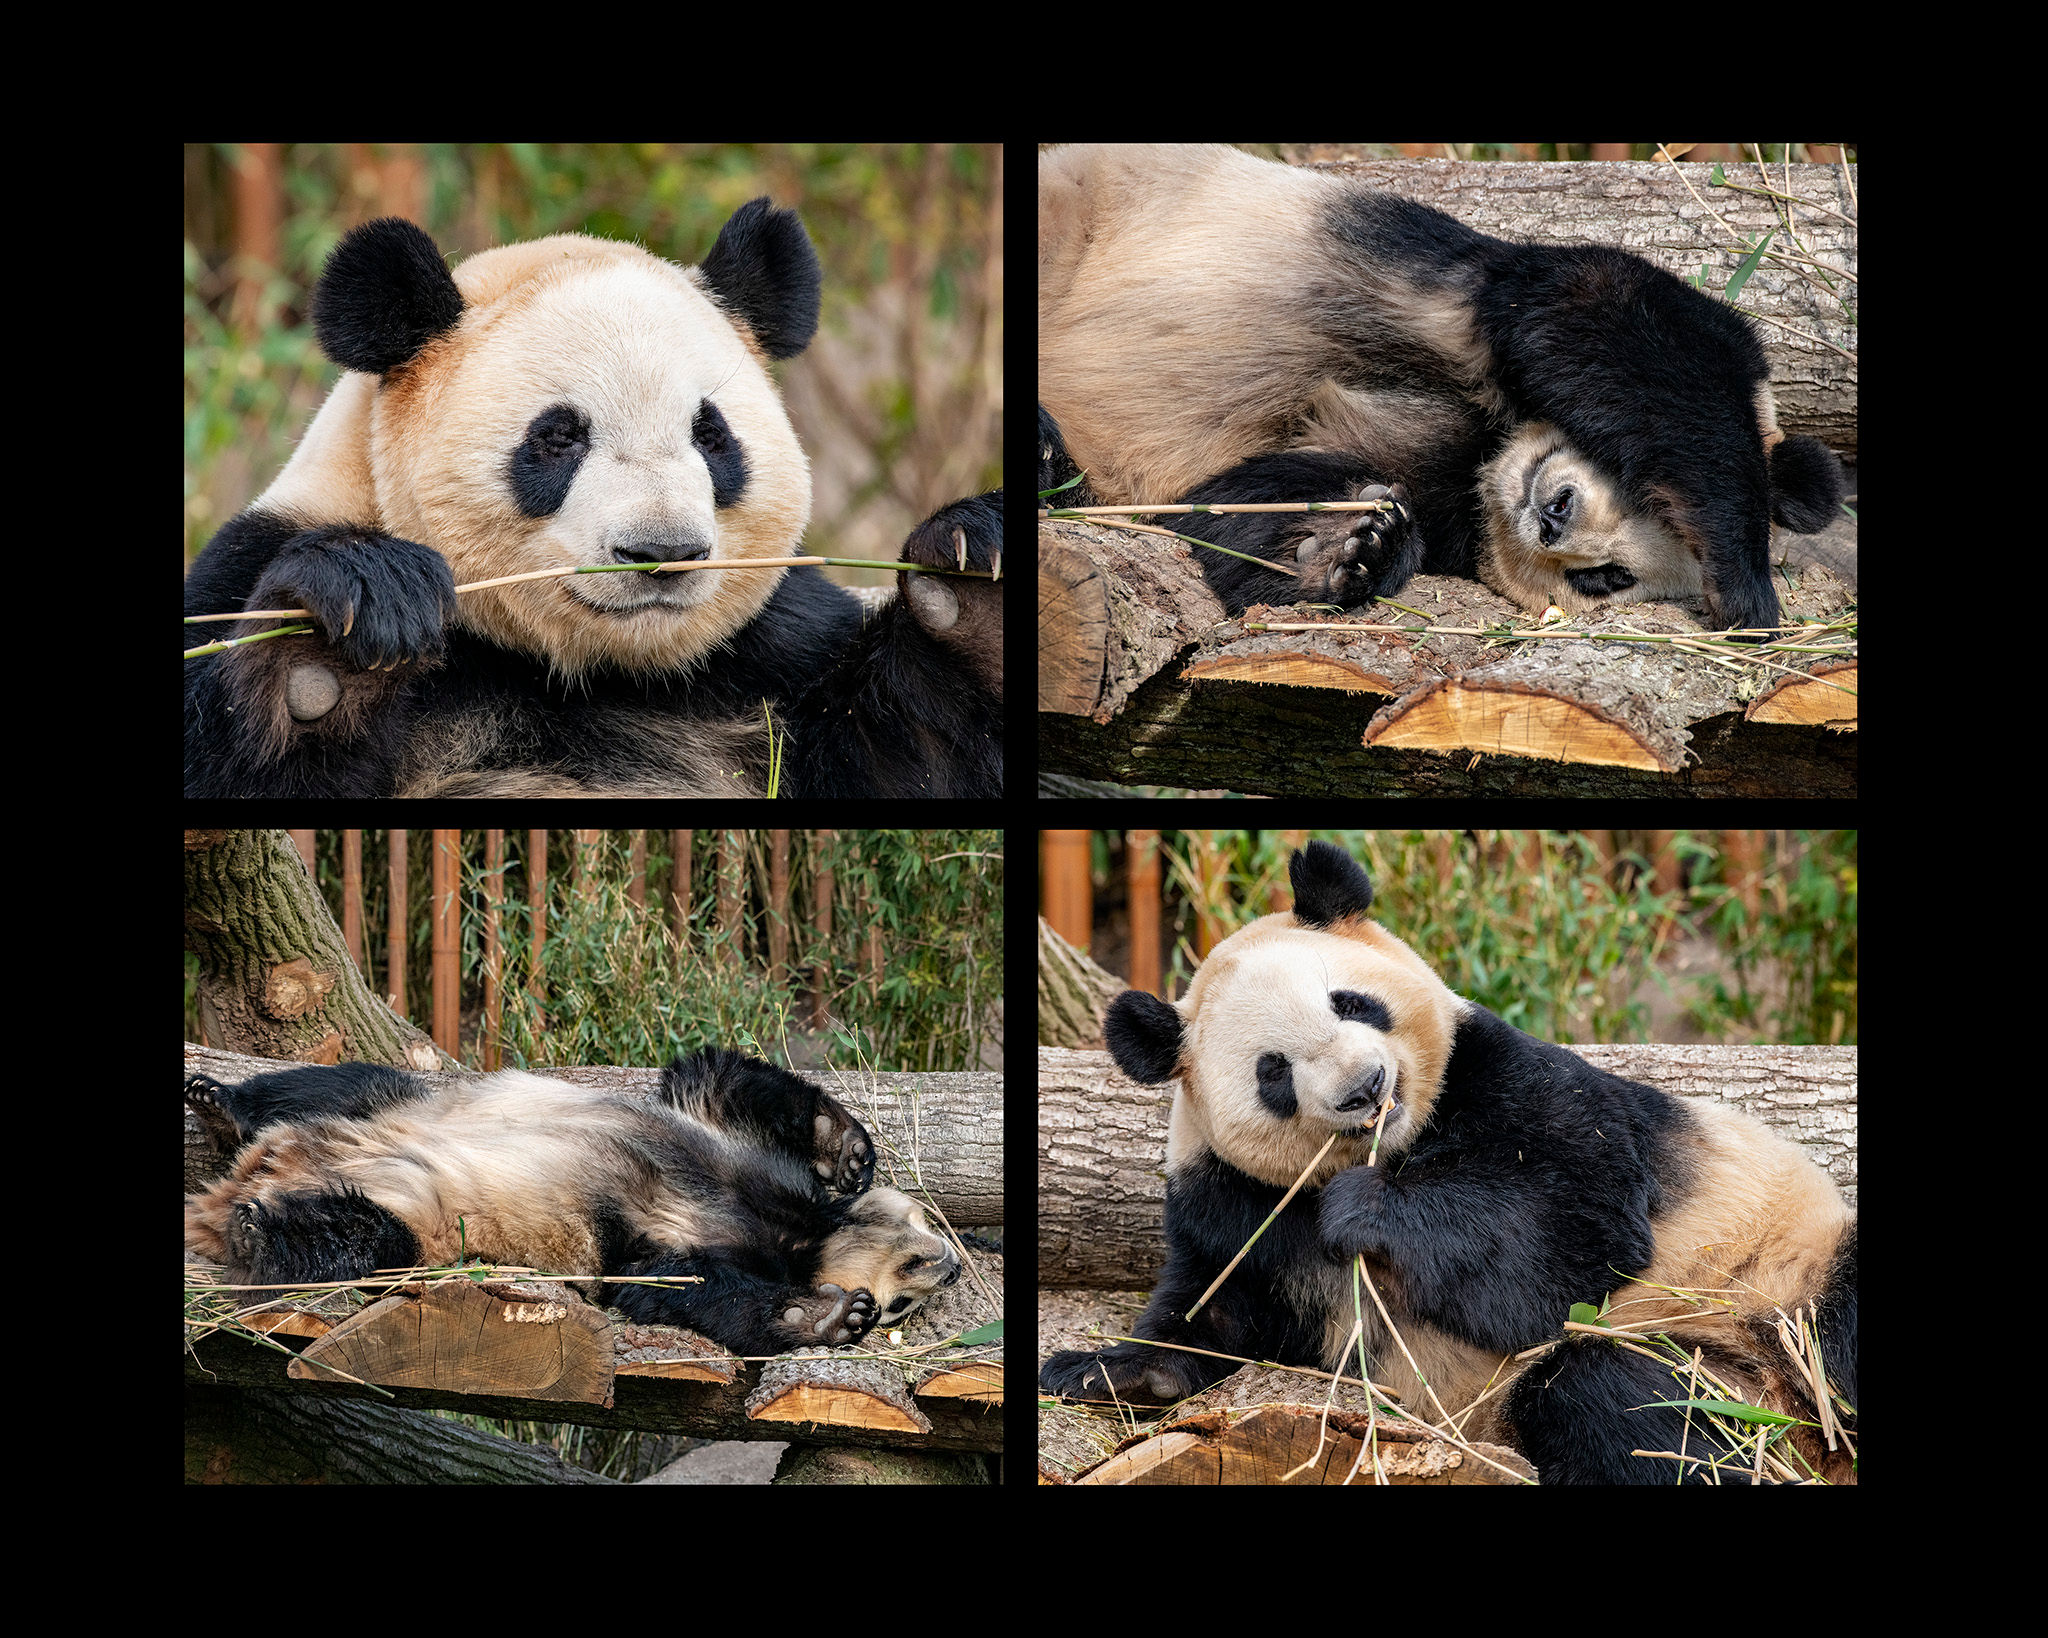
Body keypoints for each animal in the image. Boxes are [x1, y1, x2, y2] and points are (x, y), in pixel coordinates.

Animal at [185, 204, 1003, 797]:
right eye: (558, 438)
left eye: (711, 435)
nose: (662, 553)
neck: (594, 671)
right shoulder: (248, 562)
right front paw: (335, 647)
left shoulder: (775, 653)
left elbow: (910, 762)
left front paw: (970, 579)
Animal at [185, 1047, 963, 1355]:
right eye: (912, 1274)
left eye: (901, 1307)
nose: (952, 1264)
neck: (800, 1233)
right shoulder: (726, 1140)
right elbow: (717, 1079)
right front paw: (847, 1149)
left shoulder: (661, 1241)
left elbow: (659, 1283)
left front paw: (824, 1315)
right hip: (407, 1105)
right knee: (335, 1084)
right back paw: (222, 1110)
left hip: (413, 1211)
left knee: (367, 1235)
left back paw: (260, 1226)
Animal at [1038, 143, 1846, 630]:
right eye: (1633, 484)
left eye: (1608, 578)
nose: (1553, 517)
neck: (1490, 455)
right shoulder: (1512, 297)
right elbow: (1602, 322)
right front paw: (1746, 584)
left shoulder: (1427, 482)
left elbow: (1238, 503)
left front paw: (1347, 550)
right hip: (1084, 209)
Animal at [1041, 840, 1857, 1485]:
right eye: (1272, 1071)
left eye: (1351, 1002)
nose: (1366, 1087)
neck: (1401, 1143)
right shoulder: (1231, 1200)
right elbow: (1210, 1313)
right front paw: (1099, 1371)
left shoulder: (1511, 1079)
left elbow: (1572, 1228)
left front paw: (1364, 1209)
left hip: (1782, 1281)